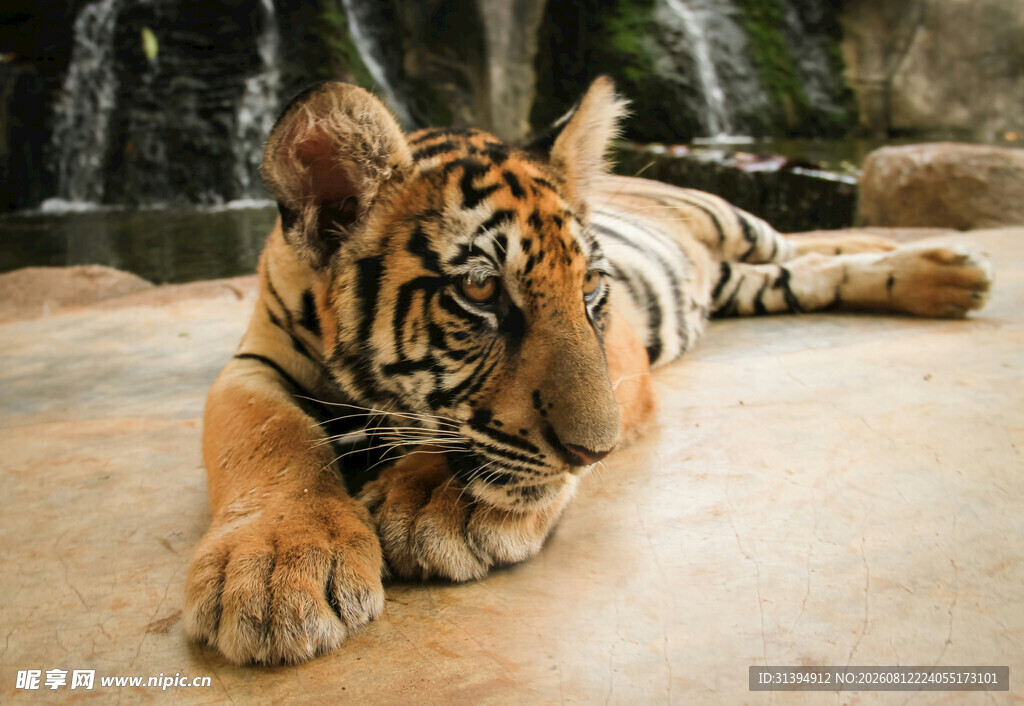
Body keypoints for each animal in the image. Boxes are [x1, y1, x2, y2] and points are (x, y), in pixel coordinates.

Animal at [184, 77, 993, 665]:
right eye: (480, 290)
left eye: (593, 288)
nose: (591, 454)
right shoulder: (254, 362)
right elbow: (269, 437)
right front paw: (277, 567)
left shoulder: (623, 352)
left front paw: (437, 504)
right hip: (748, 280)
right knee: (805, 270)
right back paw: (943, 276)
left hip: (735, 220)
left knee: (806, 243)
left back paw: (945, 263)